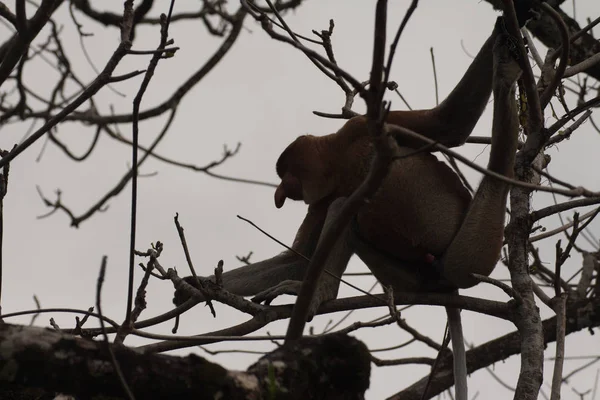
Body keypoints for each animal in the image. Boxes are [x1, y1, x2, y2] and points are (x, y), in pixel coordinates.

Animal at [176, 15, 524, 400]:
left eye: (285, 175)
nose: (279, 195)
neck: (341, 160)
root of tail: (448, 284)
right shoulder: (321, 197)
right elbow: (297, 260)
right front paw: (197, 285)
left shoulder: (359, 129)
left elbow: (449, 124)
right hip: (413, 276)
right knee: (350, 218)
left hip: (471, 255)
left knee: (492, 178)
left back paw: (504, 74)